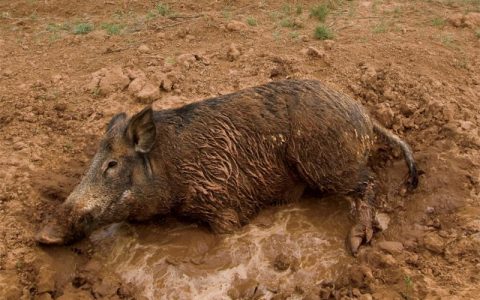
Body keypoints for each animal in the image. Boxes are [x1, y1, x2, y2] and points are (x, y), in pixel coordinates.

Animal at [35, 79, 418, 253]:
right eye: (92, 160)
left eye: (112, 164)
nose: (42, 234)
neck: (170, 169)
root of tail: (365, 116)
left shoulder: (222, 202)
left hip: (327, 163)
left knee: (369, 181)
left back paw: (356, 243)